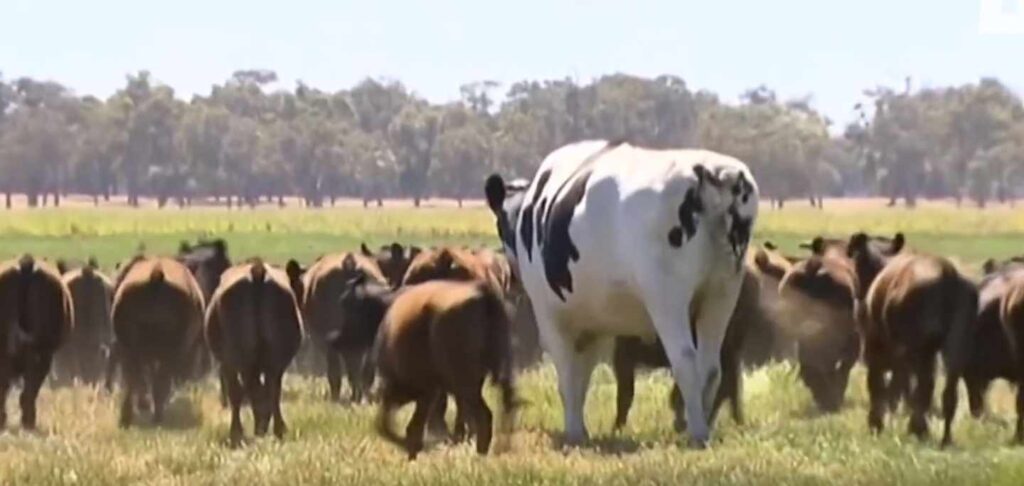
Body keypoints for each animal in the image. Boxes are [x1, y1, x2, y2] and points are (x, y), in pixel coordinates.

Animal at [205, 259, 304, 446]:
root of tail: (257, 270)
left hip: (234, 358)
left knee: (242, 391)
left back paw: (240, 431)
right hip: (273, 359)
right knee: (270, 390)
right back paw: (275, 429)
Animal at [485, 139, 758, 446]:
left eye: (500, 225)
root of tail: (709, 171)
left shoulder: (551, 318)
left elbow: (567, 377)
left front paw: (574, 432)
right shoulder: (594, 323)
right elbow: (583, 377)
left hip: (666, 298)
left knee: (686, 359)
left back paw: (697, 432)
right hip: (722, 294)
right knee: (710, 367)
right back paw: (702, 426)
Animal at [848, 232, 977, 447]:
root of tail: (947, 274)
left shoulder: (875, 347)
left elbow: (879, 385)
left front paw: (876, 424)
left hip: (919, 349)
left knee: (923, 386)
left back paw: (917, 429)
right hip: (953, 349)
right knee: (947, 393)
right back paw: (944, 437)